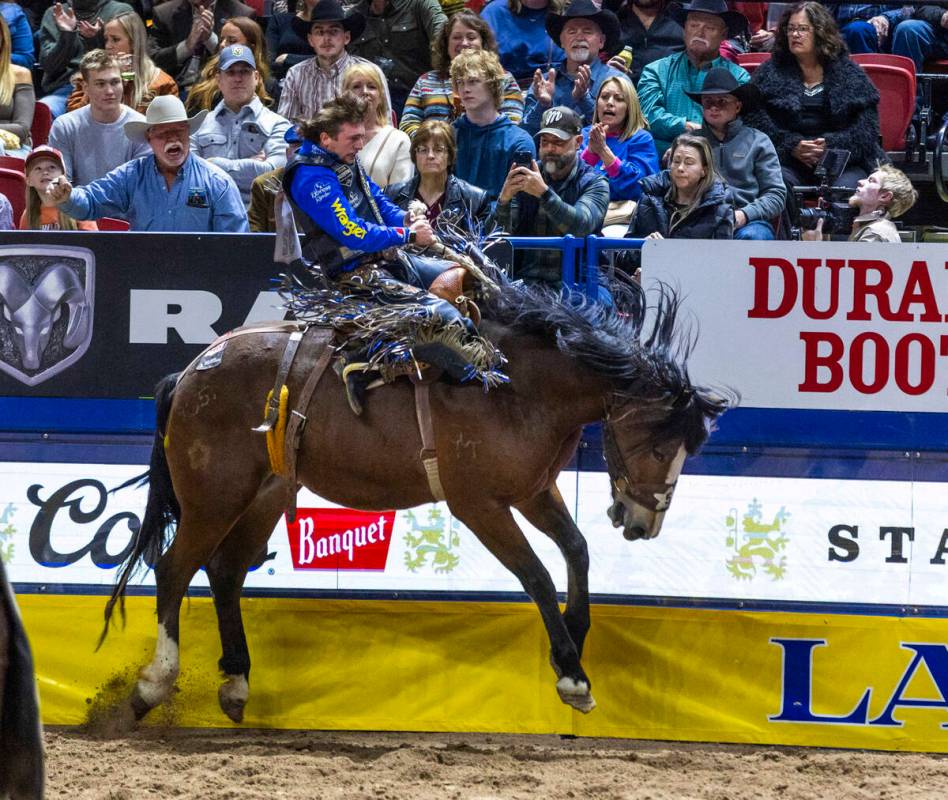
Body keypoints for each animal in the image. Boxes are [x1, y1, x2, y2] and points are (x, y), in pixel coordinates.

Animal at [103, 278, 728, 720]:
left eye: (689, 450)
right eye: (656, 443)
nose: (643, 521)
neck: (518, 387)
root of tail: (191, 371)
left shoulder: (532, 490)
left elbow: (576, 549)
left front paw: (573, 636)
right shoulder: (478, 504)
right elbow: (536, 574)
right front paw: (572, 677)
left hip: (266, 492)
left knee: (225, 571)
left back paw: (235, 682)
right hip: (213, 495)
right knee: (174, 568)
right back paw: (153, 684)